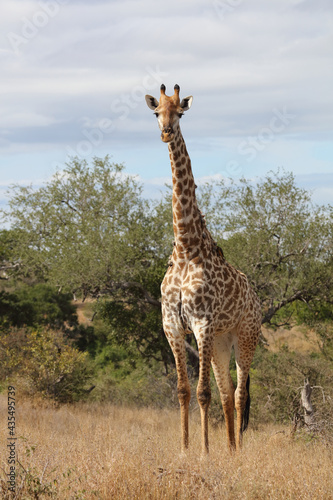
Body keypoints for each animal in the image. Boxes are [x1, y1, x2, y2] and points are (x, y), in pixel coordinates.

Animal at [144, 83, 260, 454]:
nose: (166, 132)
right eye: (156, 112)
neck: (185, 248)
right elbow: (184, 391)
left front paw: (205, 453)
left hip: (245, 336)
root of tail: (255, 295)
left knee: (238, 394)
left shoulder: (202, 323)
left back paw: (238, 450)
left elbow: (202, 392)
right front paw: (185, 449)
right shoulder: (172, 325)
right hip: (222, 343)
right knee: (227, 393)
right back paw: (231, 449)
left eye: (180, 113)